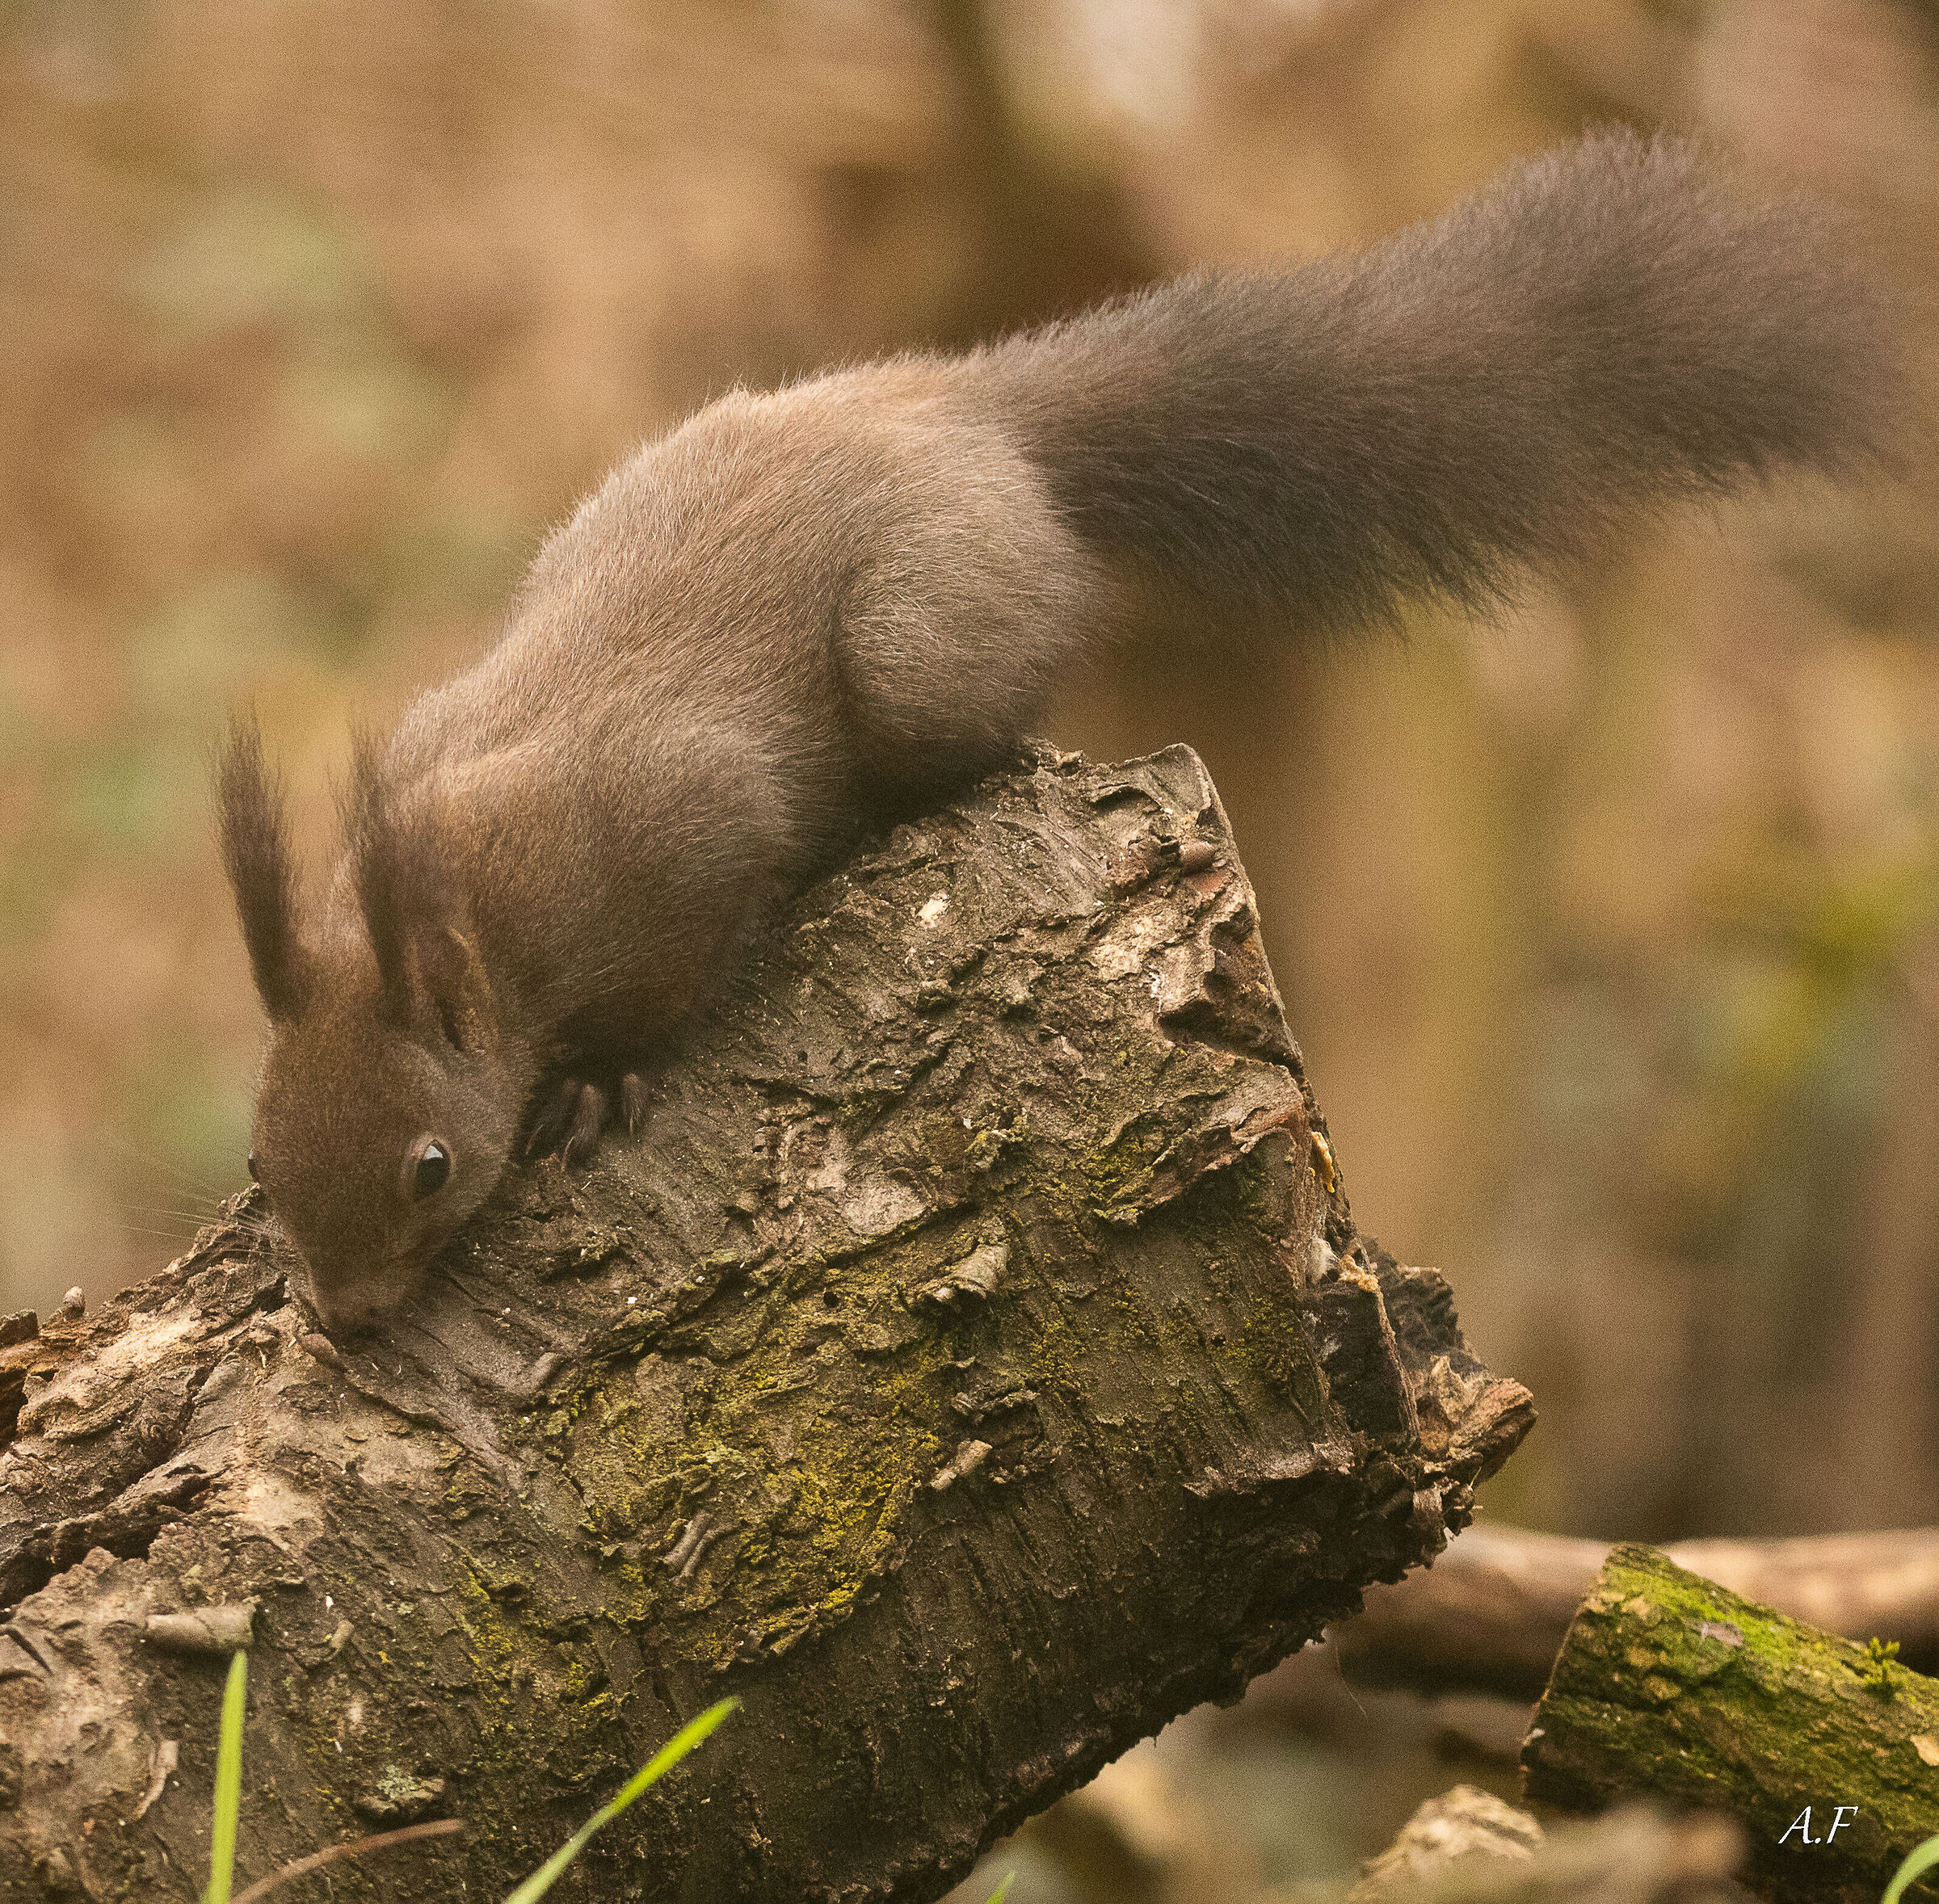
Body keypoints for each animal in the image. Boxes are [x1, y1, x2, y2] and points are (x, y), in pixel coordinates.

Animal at [219, 131, 1898, 1335]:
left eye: (431, 1166)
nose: (347, 1323)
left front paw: (600, 1085)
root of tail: (979, 417)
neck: (471, 913)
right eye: (260, 1151)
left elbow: (684, 956)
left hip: (919, 648)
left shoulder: (676, 832)